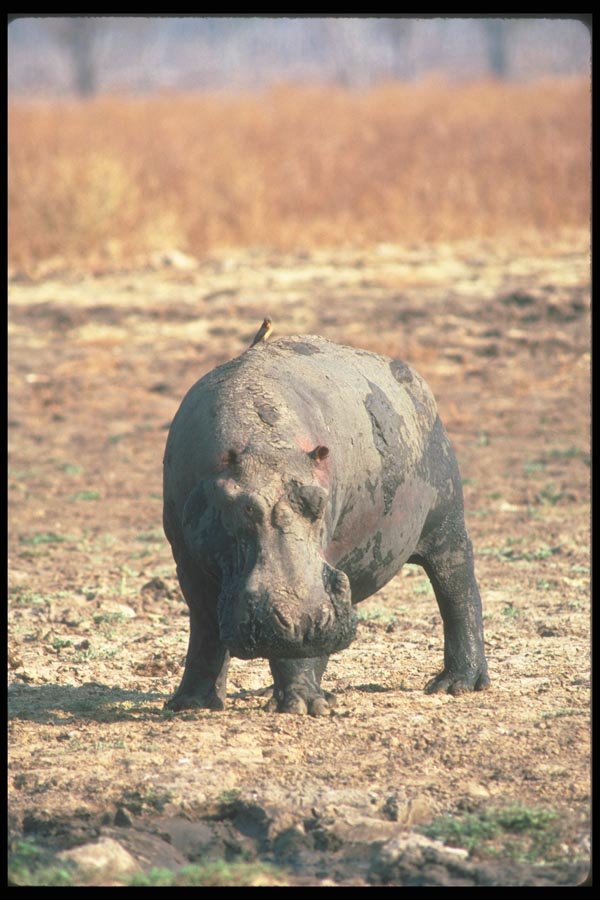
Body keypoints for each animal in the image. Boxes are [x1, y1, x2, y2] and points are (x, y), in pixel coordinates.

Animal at [162, 334, 489, 715]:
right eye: (241, 507)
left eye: (319, 501)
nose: (304, 622)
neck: (264, 443)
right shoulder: (187, 561)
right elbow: (205, 627)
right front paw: (189, 704)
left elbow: (291, 654)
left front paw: (303, 706)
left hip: (446, 525)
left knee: (458, 593)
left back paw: (455, 685)